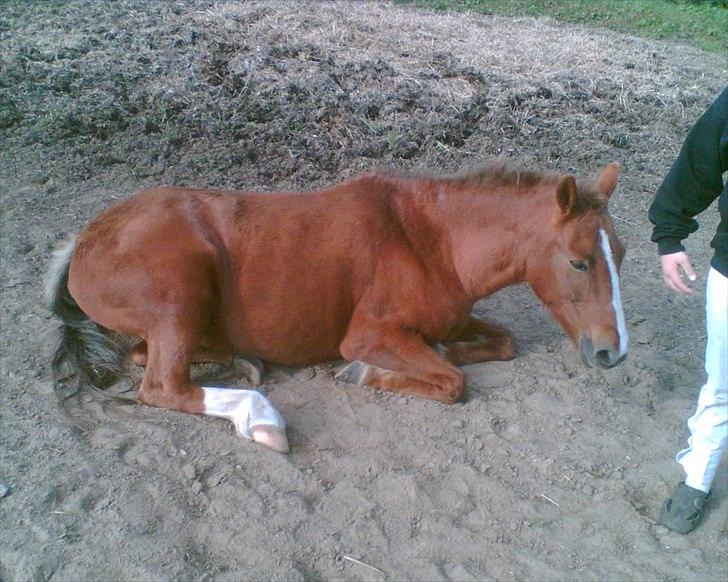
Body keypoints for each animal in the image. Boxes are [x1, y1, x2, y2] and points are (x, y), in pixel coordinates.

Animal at [44, 161, 624, 456]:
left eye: (621, 253)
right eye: (578, 262)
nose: (612, 354)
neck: (431, 242)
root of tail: (85, 239)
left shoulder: (457, 318)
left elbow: (502, 343)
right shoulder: (368, 334)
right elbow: (452, 382)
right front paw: (365, 373)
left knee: (146, 356)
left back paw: (245, 360)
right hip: (181, 294)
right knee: (164, 385)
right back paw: (260, 417)